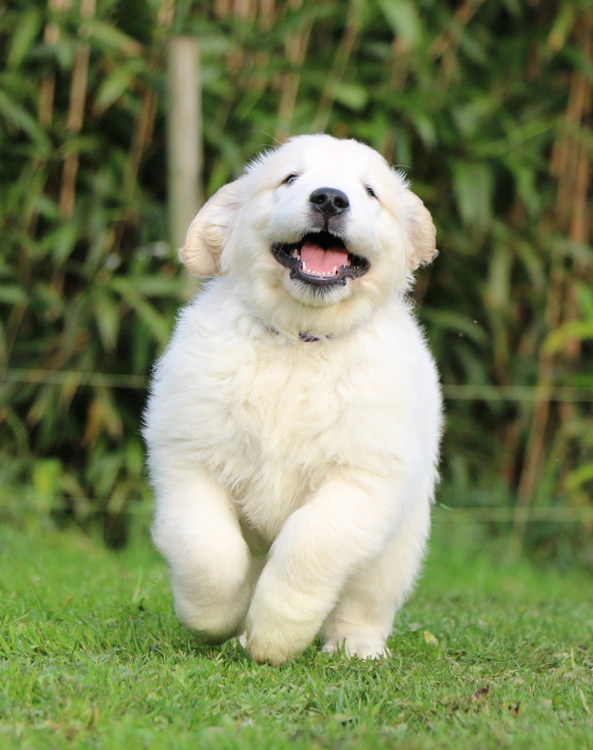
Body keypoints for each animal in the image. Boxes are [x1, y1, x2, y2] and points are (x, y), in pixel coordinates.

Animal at [143, 134, 443, 665]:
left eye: (369, 192)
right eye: (289, 179)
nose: (330, 199)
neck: (299, 340)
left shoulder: (363, 481)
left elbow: (310, 543)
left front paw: (274, 635)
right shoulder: (189, 459)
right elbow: (207, 549)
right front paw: (213, 618)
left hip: (399, 541)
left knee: (366, 601)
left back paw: (356, 647)